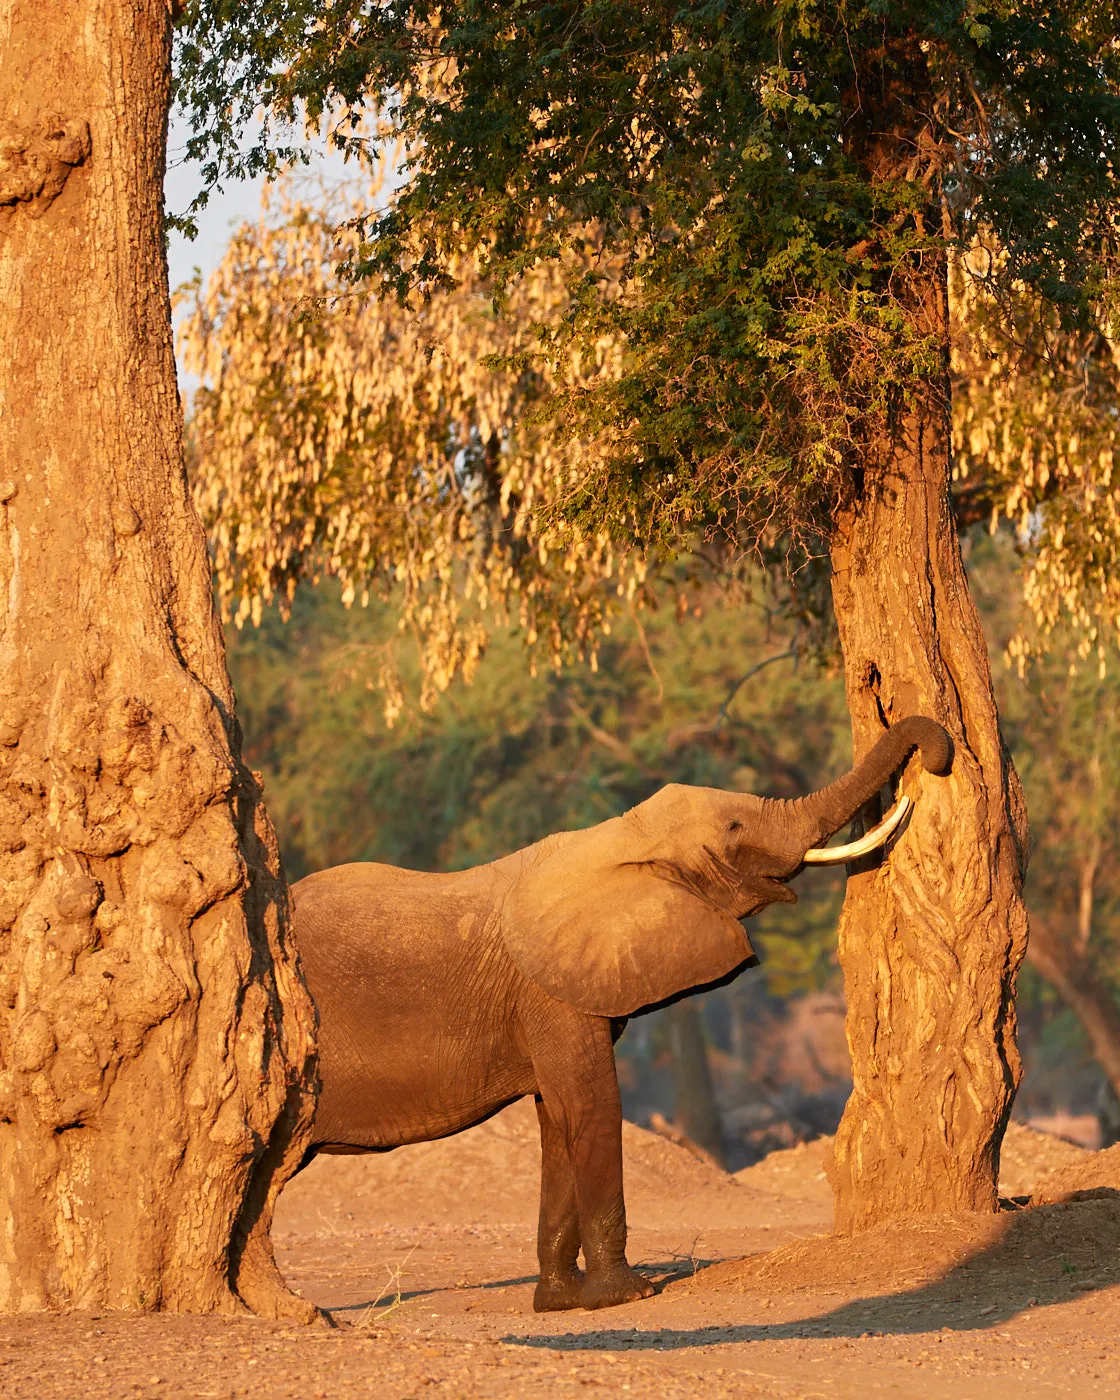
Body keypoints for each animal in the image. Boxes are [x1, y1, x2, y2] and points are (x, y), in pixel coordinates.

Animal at [291, 714, 951, 1312]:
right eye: (735, 825)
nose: (935, 758)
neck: (618, 839)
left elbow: (558, 1116)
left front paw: (559, 1304)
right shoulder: (551, 991)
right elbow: (592, 1106)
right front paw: (627, 1295)